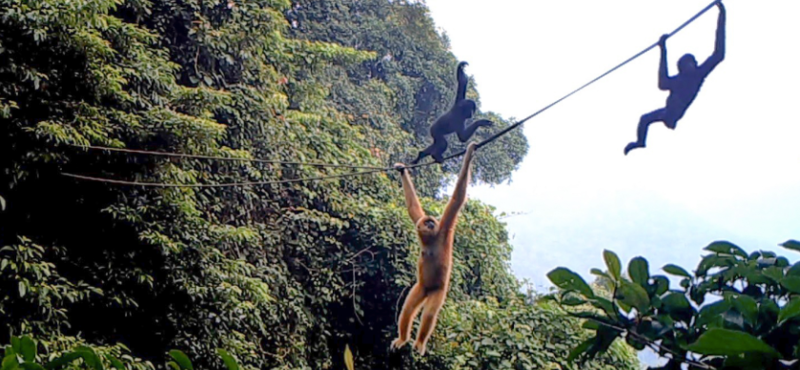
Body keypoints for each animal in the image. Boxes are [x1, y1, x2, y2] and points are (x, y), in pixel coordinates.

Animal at [624, 0, 724, 154]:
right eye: (687, 60)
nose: (691, 63)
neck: (688, 74)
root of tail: (672, 123)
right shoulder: (700, 70)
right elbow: (718, 54)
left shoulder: (692, 74)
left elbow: (662, 84)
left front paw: (662, 44)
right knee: (645, 118)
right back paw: (639, 144)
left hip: (665, 115)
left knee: (646, 118)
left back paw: (638, 144)